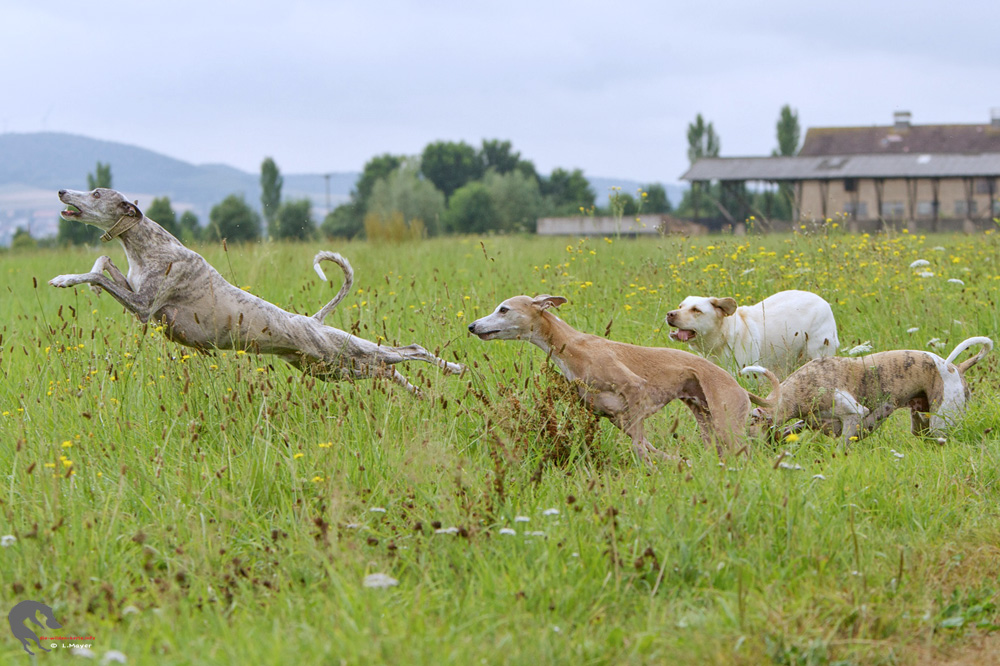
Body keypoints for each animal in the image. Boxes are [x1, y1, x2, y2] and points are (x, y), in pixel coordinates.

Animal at [668, 288, 840, 376]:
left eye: (696, 310)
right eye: (681, 306)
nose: (670, 314)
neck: (721, 339)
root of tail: (823, 301)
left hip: (816, 352)